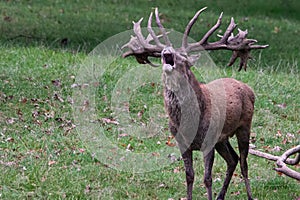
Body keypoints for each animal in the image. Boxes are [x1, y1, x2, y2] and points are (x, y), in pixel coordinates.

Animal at [123, 7, 268, 199]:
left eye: (184, 57)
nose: (166, 51)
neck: (190, 123)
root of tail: (249, 89)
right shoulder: (182, 142)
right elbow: (189, 175)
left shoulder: (209, 140)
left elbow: (207, 178)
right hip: (222, 139)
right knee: (233, 159)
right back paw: (221, 195)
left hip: (245, 125)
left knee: (244, 163)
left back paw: (249, 195)